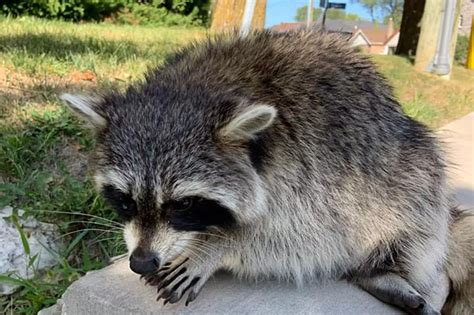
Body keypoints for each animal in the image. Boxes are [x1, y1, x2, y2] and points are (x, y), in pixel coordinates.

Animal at [61, 30, 472, 315]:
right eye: (125, 200)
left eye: (184, 204)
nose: (141, 261)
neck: (194, 87)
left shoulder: (314, 170)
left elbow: (296, 241)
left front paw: (215, 247)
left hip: (401, 168)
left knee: (416, 207)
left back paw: (380, 268)